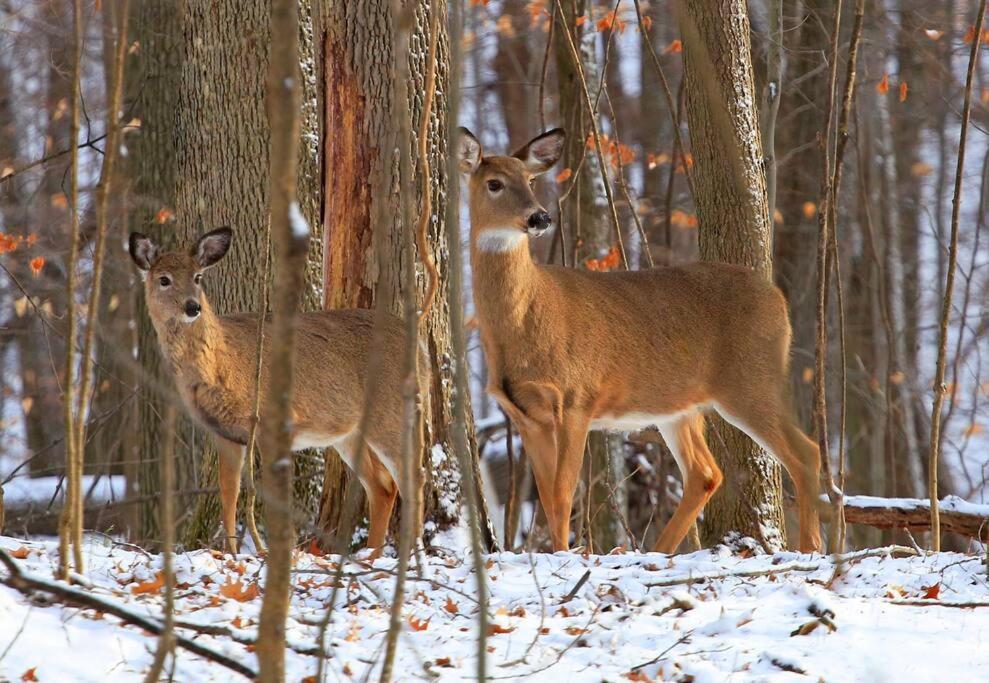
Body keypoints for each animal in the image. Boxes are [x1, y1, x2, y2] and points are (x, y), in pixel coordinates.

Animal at [127, 230, 420, 556]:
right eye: (164, 279)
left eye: (198, 277)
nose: (192, 307)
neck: (224, 365)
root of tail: (418, 343)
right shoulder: (225, 434)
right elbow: (229, 493)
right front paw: (231, 554)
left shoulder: (274, 422)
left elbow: (274, 499)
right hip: (348, 432)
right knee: (383, 486)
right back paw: (374, 556)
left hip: (390, 412)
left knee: (412, 478)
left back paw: (412, 552)